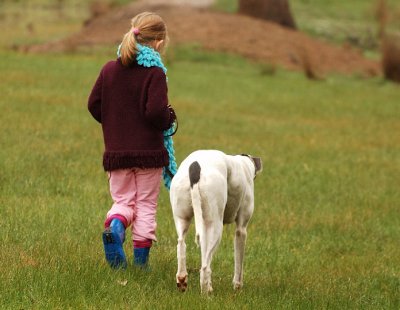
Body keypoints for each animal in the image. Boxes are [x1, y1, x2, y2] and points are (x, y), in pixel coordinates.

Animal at [170, 150, 260, 294]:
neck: (243, 164)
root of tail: (195, 167)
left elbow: (206, 255)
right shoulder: (241, 230)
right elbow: (239, 263)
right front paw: (237, 287)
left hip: (184, 219)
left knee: (181, 244)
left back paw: (182, 279)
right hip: (215, 227)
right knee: (205, 268)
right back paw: (206, 293)